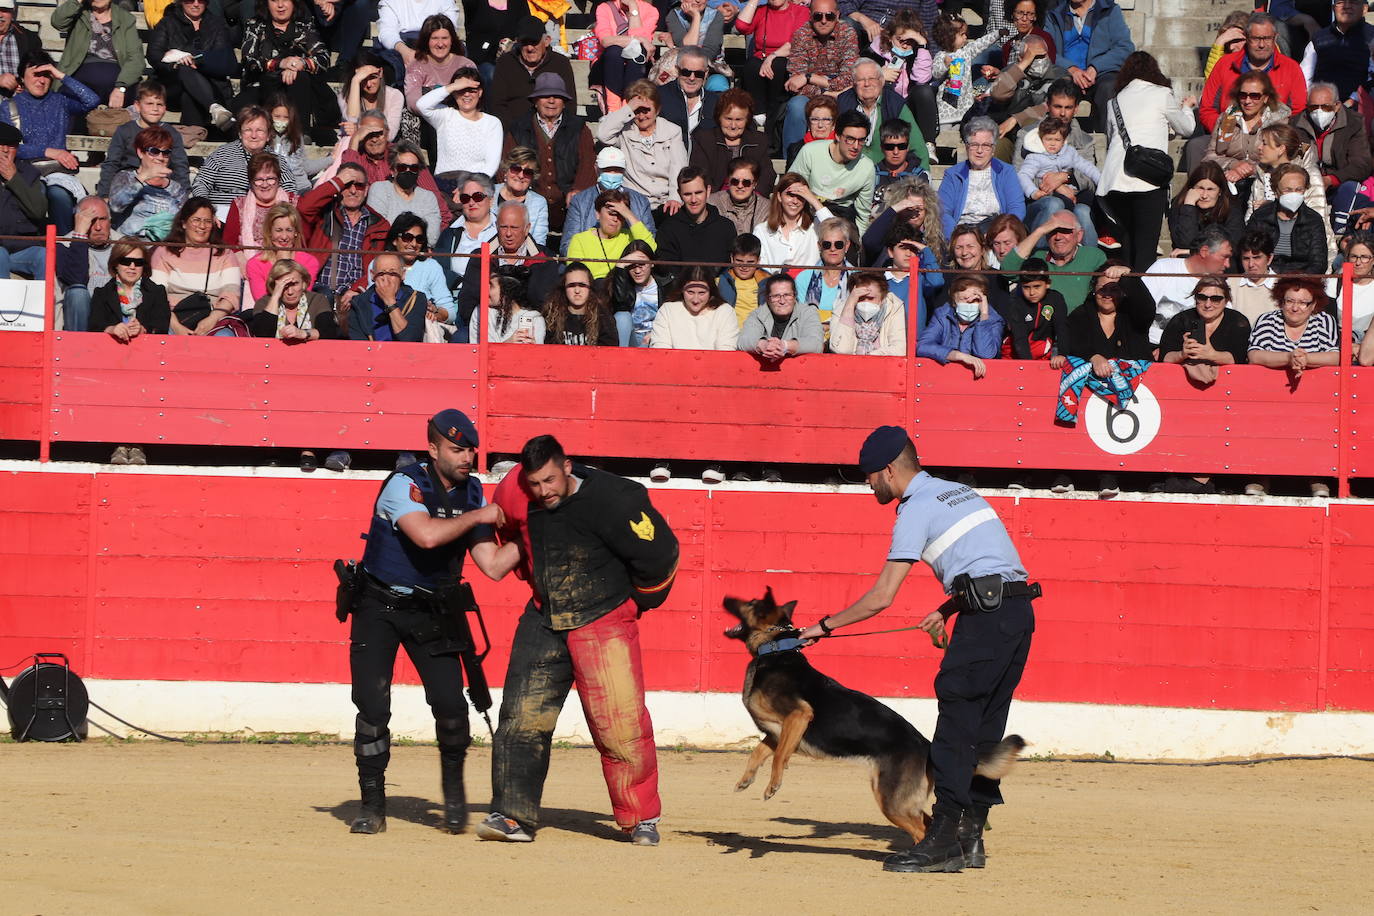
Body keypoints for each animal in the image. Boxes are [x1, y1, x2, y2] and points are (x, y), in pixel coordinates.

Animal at [725, 587, 1027, 845]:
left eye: (750, 603)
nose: (725, 598)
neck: (775, 648)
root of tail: (926, 745)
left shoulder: (799, 716)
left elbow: (778, 757)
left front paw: (773, 784)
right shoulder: (778, 731)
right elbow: (759, 752)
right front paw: (745, 780)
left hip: (891, 801)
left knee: (921, 829)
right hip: (899, 800)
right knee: (927, 823)